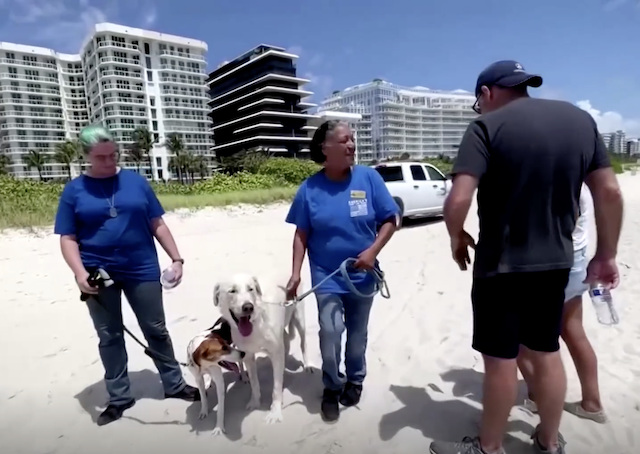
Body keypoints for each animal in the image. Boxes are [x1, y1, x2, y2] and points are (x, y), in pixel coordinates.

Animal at [214, 274, 312, 426]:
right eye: (232, 291)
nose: (248, 307)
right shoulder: (248, 357)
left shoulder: (275, 352)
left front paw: (275, 412)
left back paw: (307, 365)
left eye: (250, 289)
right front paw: (255, 403)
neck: (256, 324)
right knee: (286, 343)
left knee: (302, 342)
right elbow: (254, 382)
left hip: (299, 316)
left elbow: (276, 388)